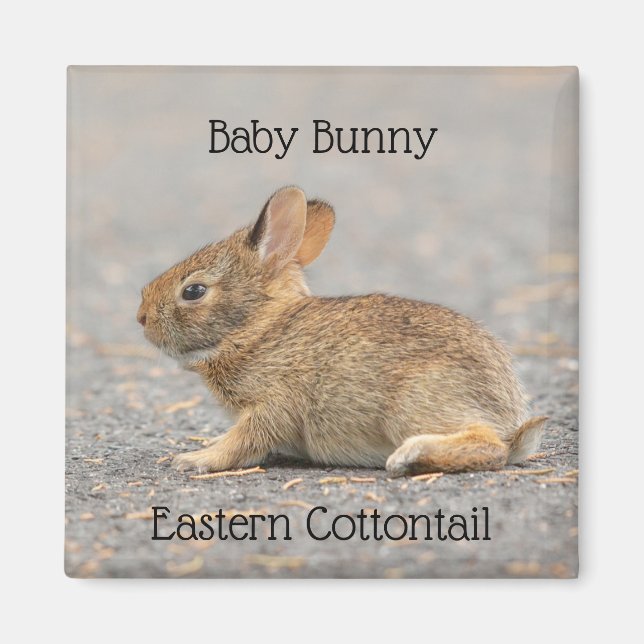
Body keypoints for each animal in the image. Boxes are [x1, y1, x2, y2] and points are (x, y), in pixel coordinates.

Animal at [137, 186, 546, 476]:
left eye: (193, 291)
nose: (141, 317)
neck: (260, 329)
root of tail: (508, 410)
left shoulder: (275, 402)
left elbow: (245, 440)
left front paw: (195, 458)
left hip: (410, 404)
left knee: (490, 446)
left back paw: (408, 456)